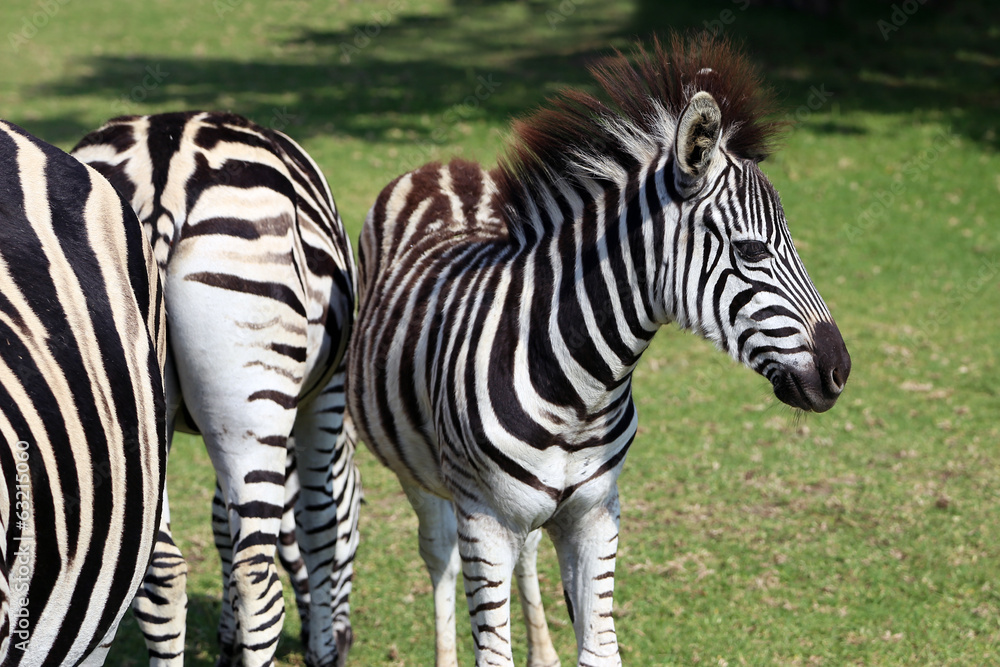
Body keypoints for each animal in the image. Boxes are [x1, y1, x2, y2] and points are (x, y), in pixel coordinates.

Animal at [71, 111, 360, 667]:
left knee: (159, 575)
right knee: (259, 584)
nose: (348, 640)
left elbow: (222, 525)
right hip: (255, 407)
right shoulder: (326, 396)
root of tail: (161, 173)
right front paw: (322, 649)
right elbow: (319, 524)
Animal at [347, 34, 851, 666]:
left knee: (525, 558)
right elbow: (491, 649)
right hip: (425, 479)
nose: (839, 371)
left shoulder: (592, 514)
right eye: (752, 251)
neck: (577, 392)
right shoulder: (484, 518)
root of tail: (445, 166)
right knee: (440, 558)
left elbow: (600, 648)